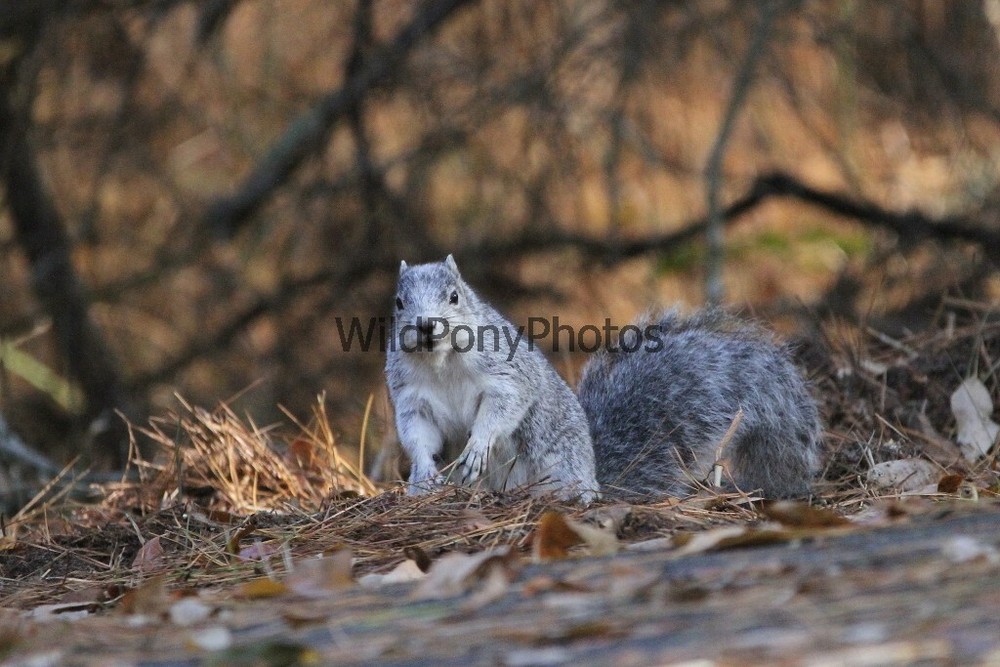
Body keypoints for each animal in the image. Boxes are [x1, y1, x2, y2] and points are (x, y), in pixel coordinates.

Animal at [385, 255, 822, 502]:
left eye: (454, 296)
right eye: (399, 302)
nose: (426, 326)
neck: (441, 362)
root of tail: (595, 481)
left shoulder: (506, 372)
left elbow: (506, 405)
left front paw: (478, 445)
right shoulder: (411, 397)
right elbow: (417, 433)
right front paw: (422, 472)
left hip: (556, 463)